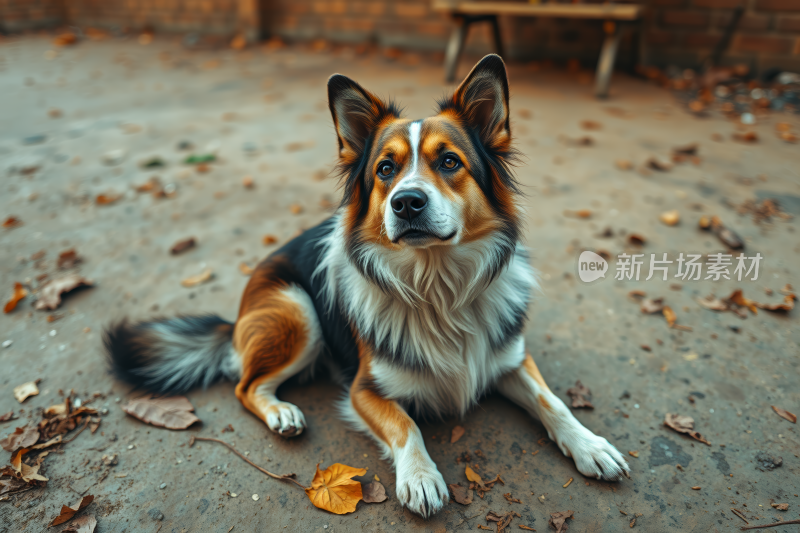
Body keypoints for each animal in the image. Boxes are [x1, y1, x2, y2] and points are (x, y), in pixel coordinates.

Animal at [104, 53, 632, 516]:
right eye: (385, 169)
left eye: (450, 162)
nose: (407, 202)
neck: (437, 288)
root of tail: (237, 316)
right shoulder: (364, 388)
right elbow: (406, 423)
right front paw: (421, 476)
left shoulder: (510, 357)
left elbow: (552, 402)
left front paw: (590, 445)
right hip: (298, 310)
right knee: (245, 384)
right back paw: (281, 412)